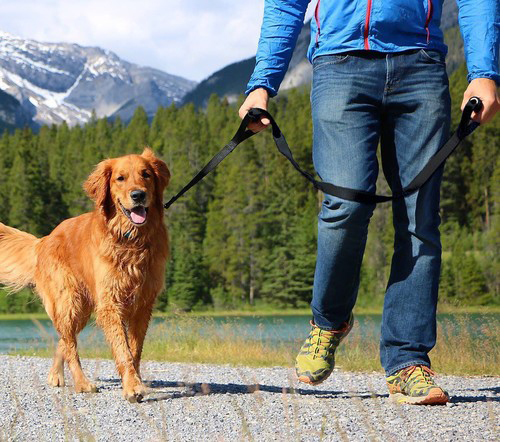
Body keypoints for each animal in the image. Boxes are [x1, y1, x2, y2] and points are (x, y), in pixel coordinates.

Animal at [0, 149, 169, 404]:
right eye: (120, 178)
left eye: (146, 174)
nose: (138, 195)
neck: (130, 239)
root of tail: (44, 240)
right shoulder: (110, 303)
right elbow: (123, 349)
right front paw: (132, 387)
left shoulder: (143, 303)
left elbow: (135, 349)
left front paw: (135, 381)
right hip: (70, 301)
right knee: (70, 344)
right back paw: (81, 382)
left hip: (82, 308)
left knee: (64, 339)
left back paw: (56, 375)